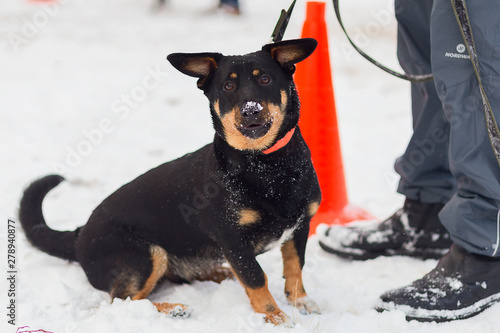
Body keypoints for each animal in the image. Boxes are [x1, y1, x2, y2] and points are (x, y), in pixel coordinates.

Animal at [19, 38, 320, 324]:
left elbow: (295, 266)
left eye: (265, 79)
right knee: (123, 300)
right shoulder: (233, 239)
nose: (250, 110)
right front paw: (274, 316)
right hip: (146, 255)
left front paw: (300, 301)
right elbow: (256, 278)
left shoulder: (300, 226)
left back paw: (220, 273)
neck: (266, 163)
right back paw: (175, 308)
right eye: (228, 86)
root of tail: (79, 235)